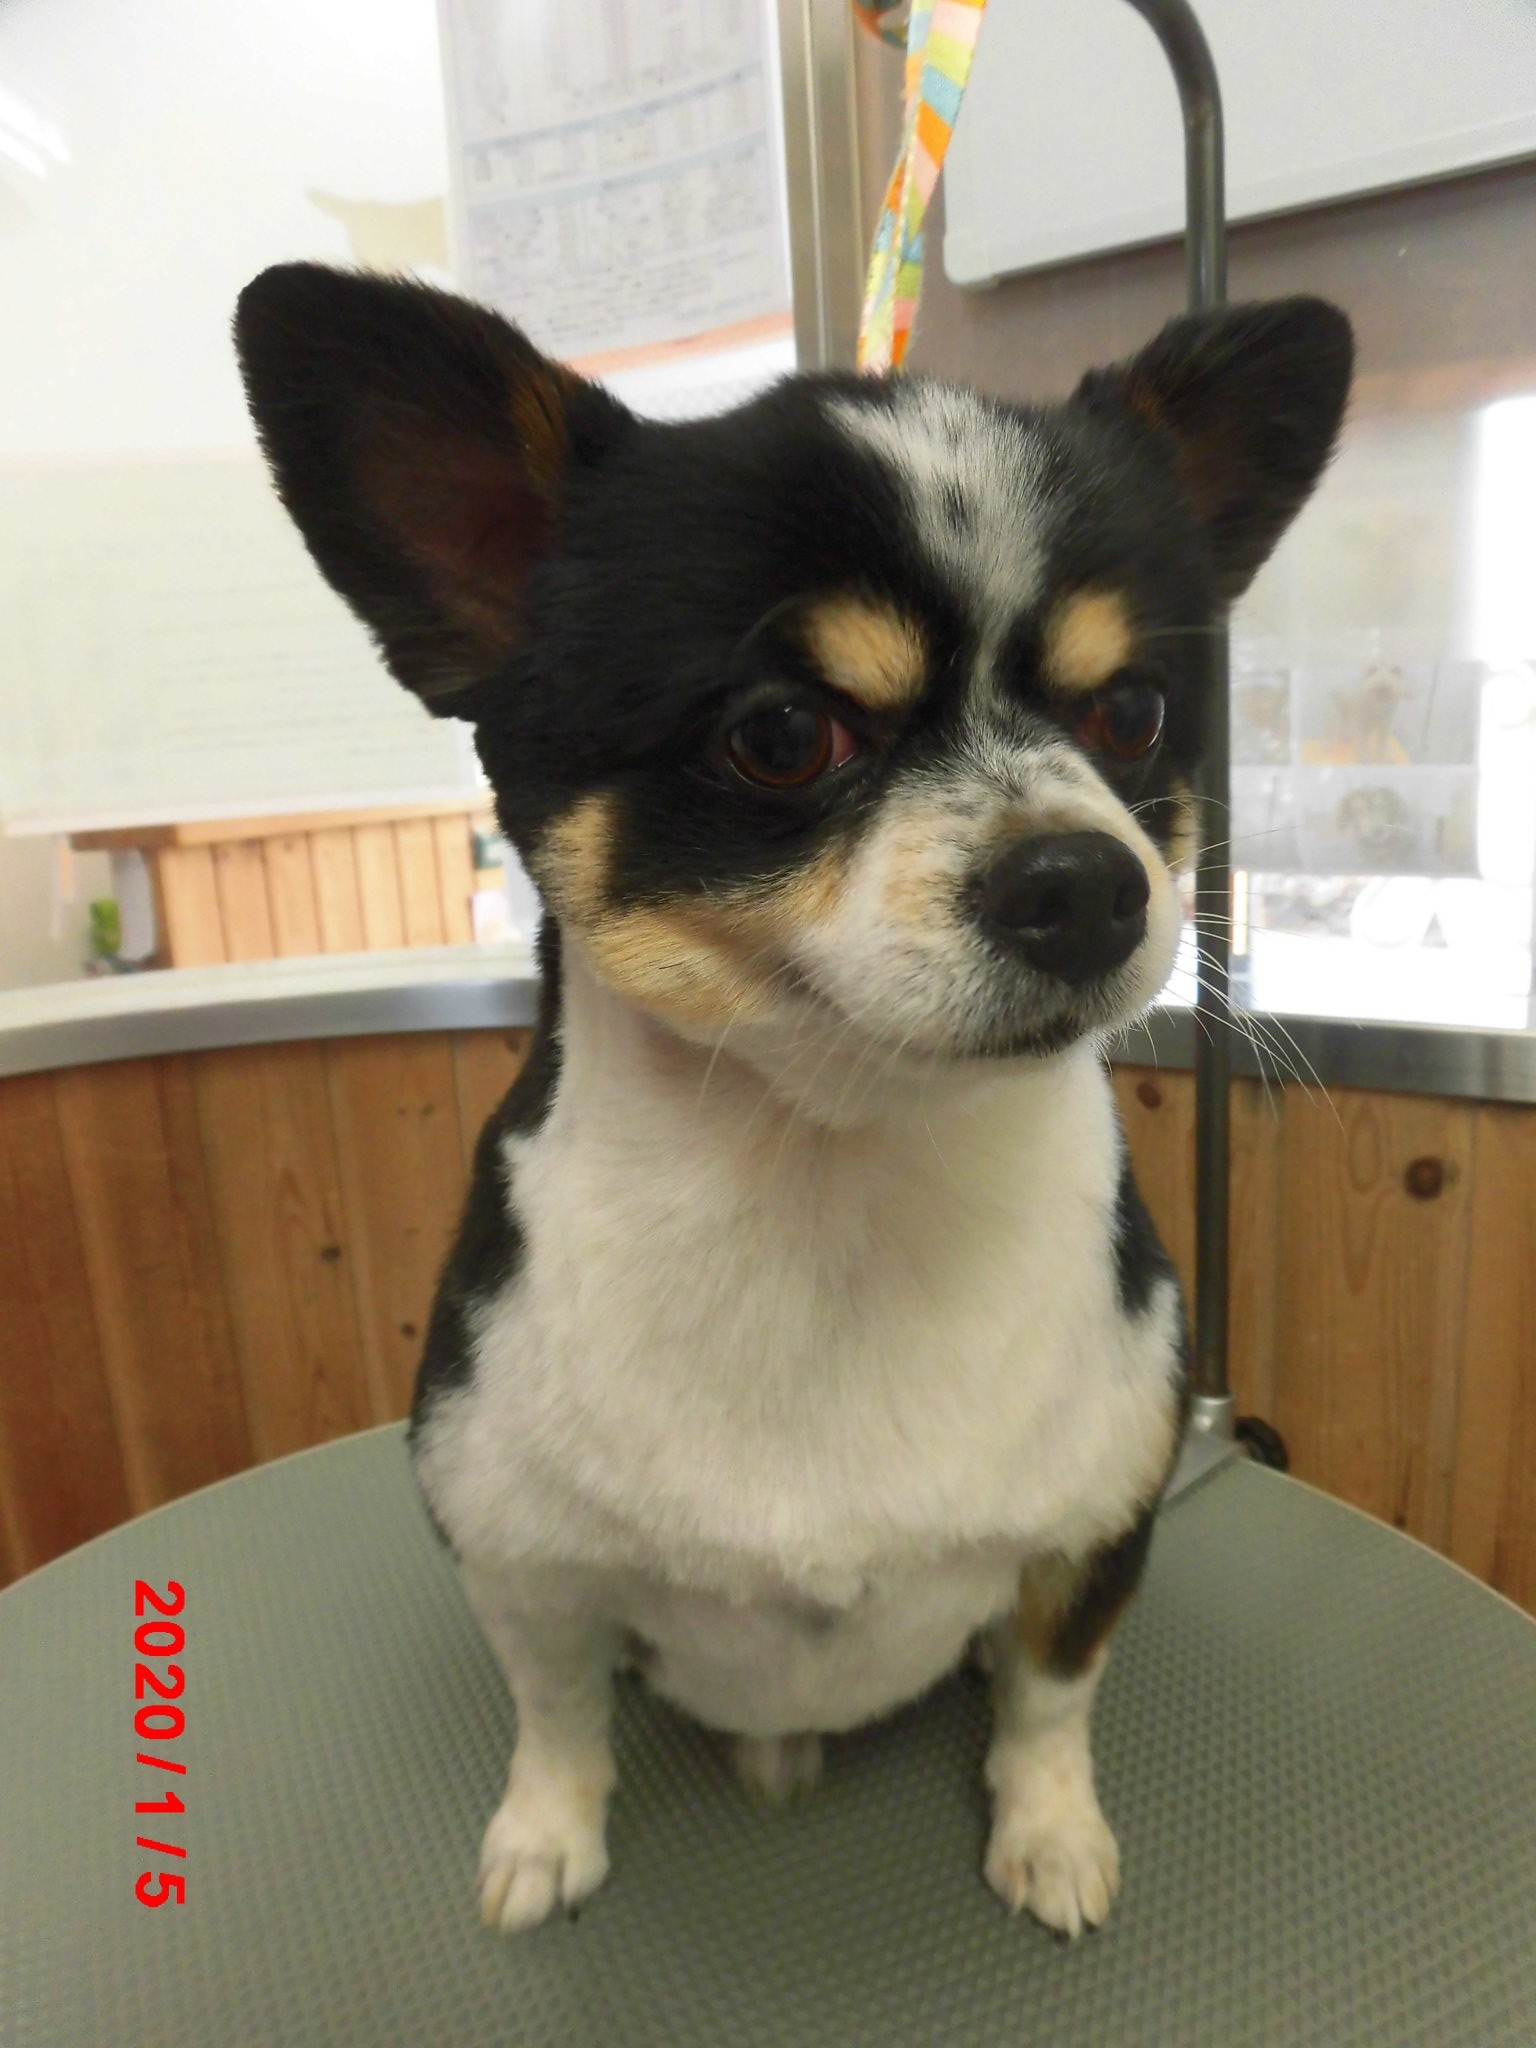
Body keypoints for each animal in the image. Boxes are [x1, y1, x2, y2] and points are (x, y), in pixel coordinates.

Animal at [235, 267, 1350, 1939]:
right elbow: (557, 1715)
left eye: (1137, 715)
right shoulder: (518, 1563)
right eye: (780, 734)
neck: (833, 1179)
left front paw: (1048, 1833)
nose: (1086, 880)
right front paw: (547, 1840)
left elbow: (1049, 1699)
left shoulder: (1094, 1532)